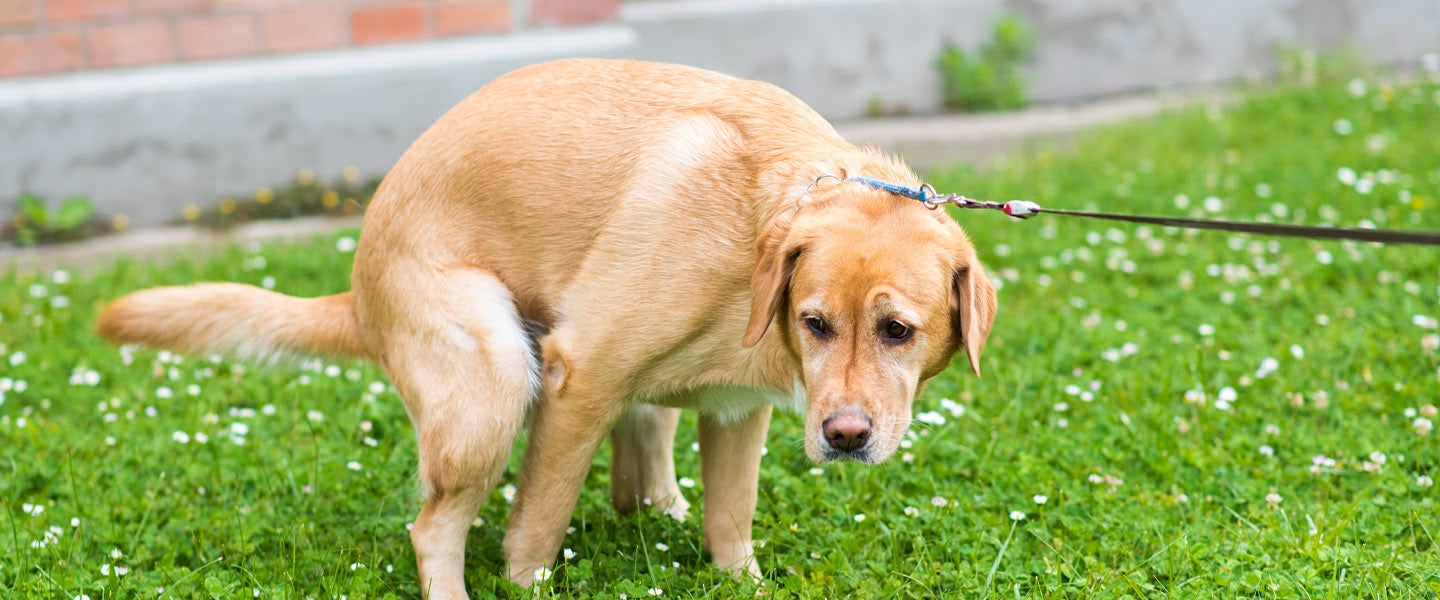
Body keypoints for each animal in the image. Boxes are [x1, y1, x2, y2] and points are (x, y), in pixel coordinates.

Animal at [98, 58, 990, 595]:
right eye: (815, 322)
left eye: (898, 331)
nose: (844, 437)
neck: (759, 229)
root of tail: (357, 289)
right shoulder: (578, 377)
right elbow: (536, 526)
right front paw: (527, 579)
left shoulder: (738, 413)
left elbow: (730, 522)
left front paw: (740, 580)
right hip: (492, 382)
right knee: (433, 528)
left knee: (640, 476)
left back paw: (658, 510)